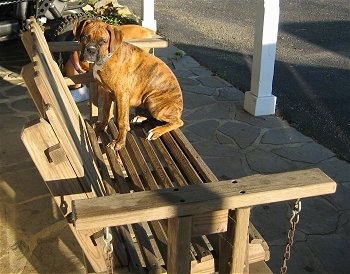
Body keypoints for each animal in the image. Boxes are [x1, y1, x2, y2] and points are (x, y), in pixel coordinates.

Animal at [74, 19, 183, 150]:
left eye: (103, 41)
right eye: (85, 37)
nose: (91, 50)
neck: (107, 57)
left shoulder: (122, 96)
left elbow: (122, 121)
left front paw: (119, 142)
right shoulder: (108, 93)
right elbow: (106, 112)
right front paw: (101, 127)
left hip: (153, 102)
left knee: (178, 122)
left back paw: (156, 131)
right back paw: (140, 117)